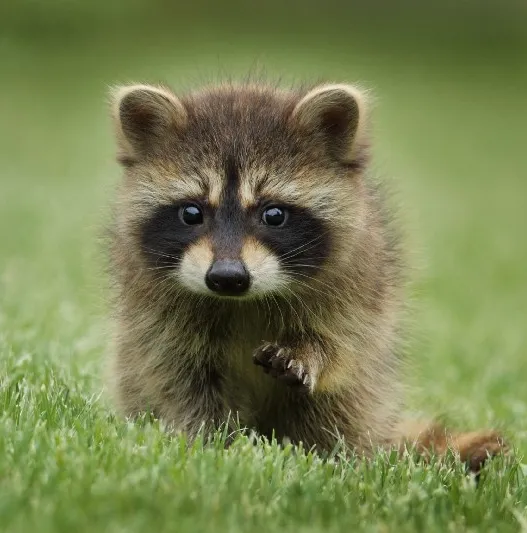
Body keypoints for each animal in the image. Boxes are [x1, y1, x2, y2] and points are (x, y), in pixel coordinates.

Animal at [107, 80, 508, 470]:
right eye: (191, 213)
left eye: (273, 215)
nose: (227, 277)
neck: (244, 301)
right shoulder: (154, 310)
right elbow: (178, 377)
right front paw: (212, 442)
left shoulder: (360, 280)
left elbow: (343, 343)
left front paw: (310, 352)